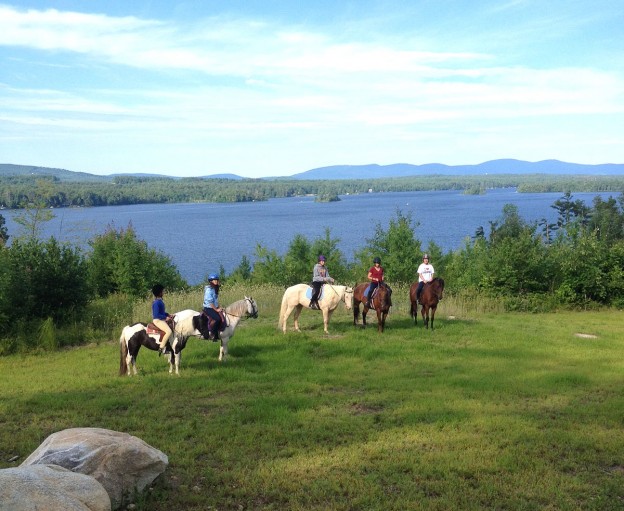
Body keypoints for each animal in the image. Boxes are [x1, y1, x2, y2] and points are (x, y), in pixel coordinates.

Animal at [118, 296, 258, 376]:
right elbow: (225, 351)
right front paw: (225, 361)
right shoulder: (225, 338)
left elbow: (220, 350)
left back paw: (136, 373)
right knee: (128, 359)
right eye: (254, 304)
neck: (229, 318)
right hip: (133, 347)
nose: (256, 314)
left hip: (136, 347)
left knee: (133, 359)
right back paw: (130, 374)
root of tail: (128, 327)